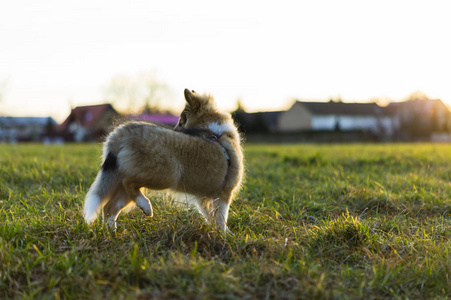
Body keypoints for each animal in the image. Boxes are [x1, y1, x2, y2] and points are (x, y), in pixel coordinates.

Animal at [81, 88, 244, 233]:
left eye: (181, 122)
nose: (174, 130)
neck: (215, 133)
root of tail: (119, 134)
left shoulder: (203, 197)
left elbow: (211, 216)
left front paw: (218, 232)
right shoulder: (225, 192)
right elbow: (221, 217)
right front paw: (225, 235)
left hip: (121, 180)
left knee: (109, 207)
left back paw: (112, 231)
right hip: (167, 174)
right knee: (128, 183)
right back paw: (146, 207)